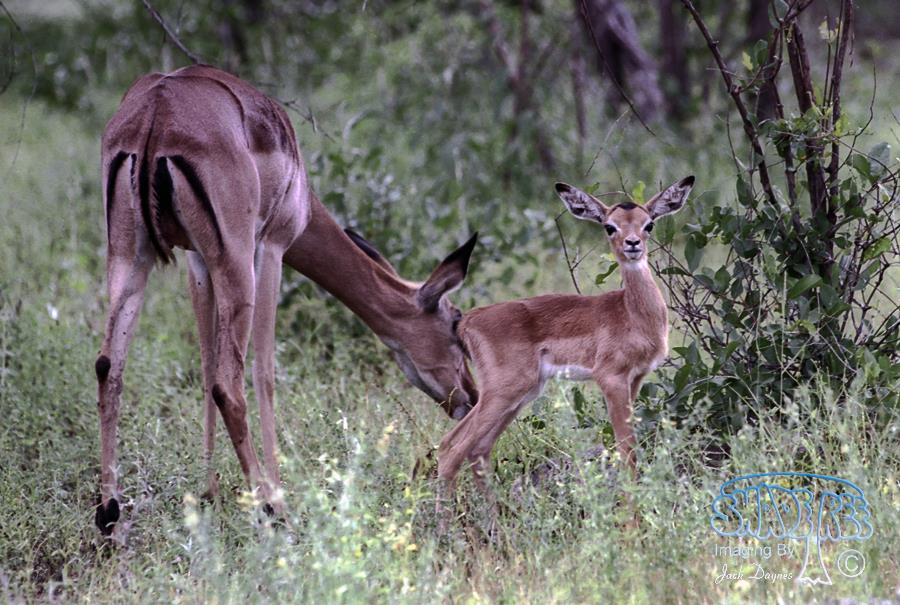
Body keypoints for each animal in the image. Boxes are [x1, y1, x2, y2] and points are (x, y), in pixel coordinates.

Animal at [96, 64, 477, 535]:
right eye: (455, 325)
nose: (470, 397)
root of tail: (157, 110)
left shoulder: (196, 261)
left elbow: (203, 365)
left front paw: (207, 493)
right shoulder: (272, 248)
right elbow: (264, 374)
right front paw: (271, 493)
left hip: (130, 258)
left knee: (109, 366)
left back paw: (109, 512)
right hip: (237, 265)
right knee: (229, 386)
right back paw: (270, 506)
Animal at [436, 176, 694, 511]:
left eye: (648, 224)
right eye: (609, 226)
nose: (632, 244)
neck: (632, 313)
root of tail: (468, 320)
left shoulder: (635, 378)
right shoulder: (610, 378)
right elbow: (626, 452)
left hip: (521, 394)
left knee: (473, 449)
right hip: (504, 392)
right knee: (451, 451)